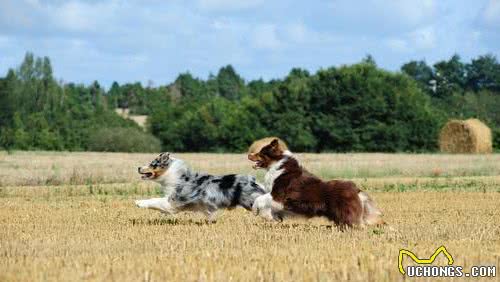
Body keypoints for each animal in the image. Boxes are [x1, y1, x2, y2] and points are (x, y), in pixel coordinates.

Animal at [133, 153, 266, 221]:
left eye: (152, 164)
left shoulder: (173, 202)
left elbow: (155, 200)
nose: (138, 167)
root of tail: (254, 181)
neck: (173, 175)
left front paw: (139, 202)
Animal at [248, 139, 384, 229]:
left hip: (346, 213)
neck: (276, 165)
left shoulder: (278, 196)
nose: (249, 154)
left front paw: (255, 210)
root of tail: (356, 190)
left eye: (261, 153)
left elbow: (259, 198)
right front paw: (271, 217)